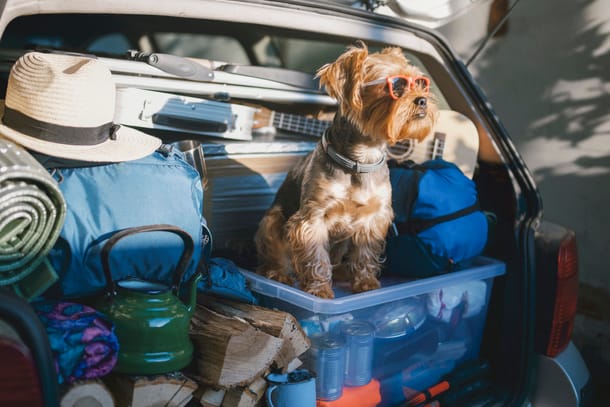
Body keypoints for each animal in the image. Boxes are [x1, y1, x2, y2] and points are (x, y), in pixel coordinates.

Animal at [254, 41, 434, 298]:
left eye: (420, 83)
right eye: (396, 85)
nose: (422, 100)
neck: (362, 158)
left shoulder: (373, 217)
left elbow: (366, 252)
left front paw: (366, 282)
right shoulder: (312, 218)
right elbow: (316, 256)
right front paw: (319, 290)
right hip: (272, 220)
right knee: (274, 256)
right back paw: (279, 273)